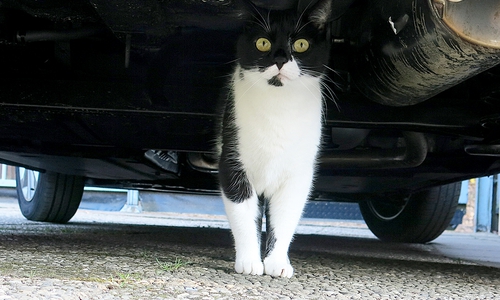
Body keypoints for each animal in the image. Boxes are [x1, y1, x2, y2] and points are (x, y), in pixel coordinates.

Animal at [218, 0, 332, 278]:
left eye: (301, 44)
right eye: (262, 43)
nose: (280, 59)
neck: (278, 108)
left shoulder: (298, 174)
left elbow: (285, 218)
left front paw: (277, 262)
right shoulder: (233, 163)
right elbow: (243, 214)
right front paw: (250, 261)